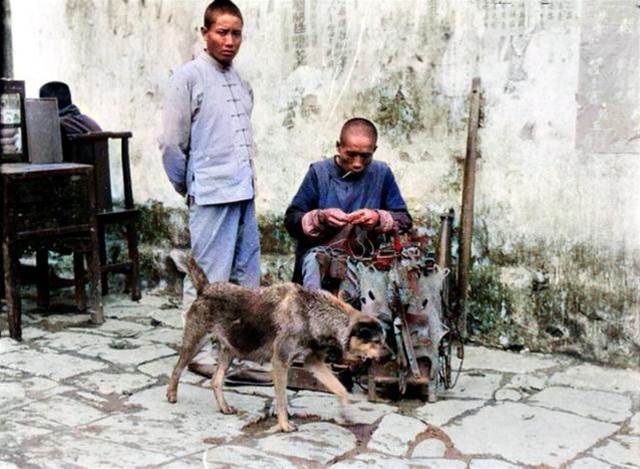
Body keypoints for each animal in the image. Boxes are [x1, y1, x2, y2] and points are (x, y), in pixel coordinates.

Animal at [166, 258, 384, 434]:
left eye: (383, 340)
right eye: (376, 341)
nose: (388, 356)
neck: (312, 312)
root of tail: (205, 288)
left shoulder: (313, 363)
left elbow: (339, 388)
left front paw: (346, 411)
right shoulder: (280, 362)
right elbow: (281, 399)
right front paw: (284, 424)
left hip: (230, 351)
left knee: (215, 381)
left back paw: (224, 407)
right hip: (195, 342)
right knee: (177, 368)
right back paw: (171, 394)